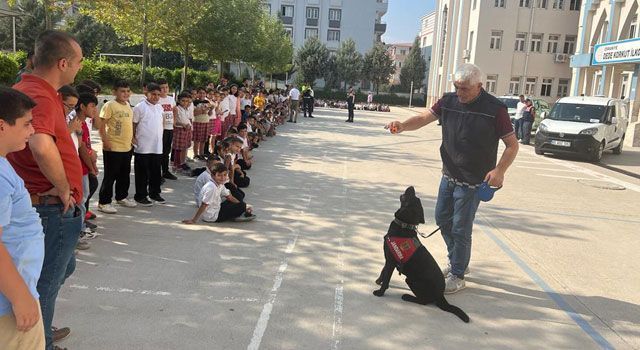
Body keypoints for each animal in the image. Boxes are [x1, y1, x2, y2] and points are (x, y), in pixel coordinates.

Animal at [370, 186, 470, 322]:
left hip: (411, 280)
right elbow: (383, 271)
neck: (404, 226)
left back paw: (407, 296)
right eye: (416, 197)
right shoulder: (389, 258)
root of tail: (441, 295)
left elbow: (387, 279)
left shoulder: (391, 261)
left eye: (412, 197)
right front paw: (378, 280)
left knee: (424, 301)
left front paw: (380, 292)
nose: (411, 187)